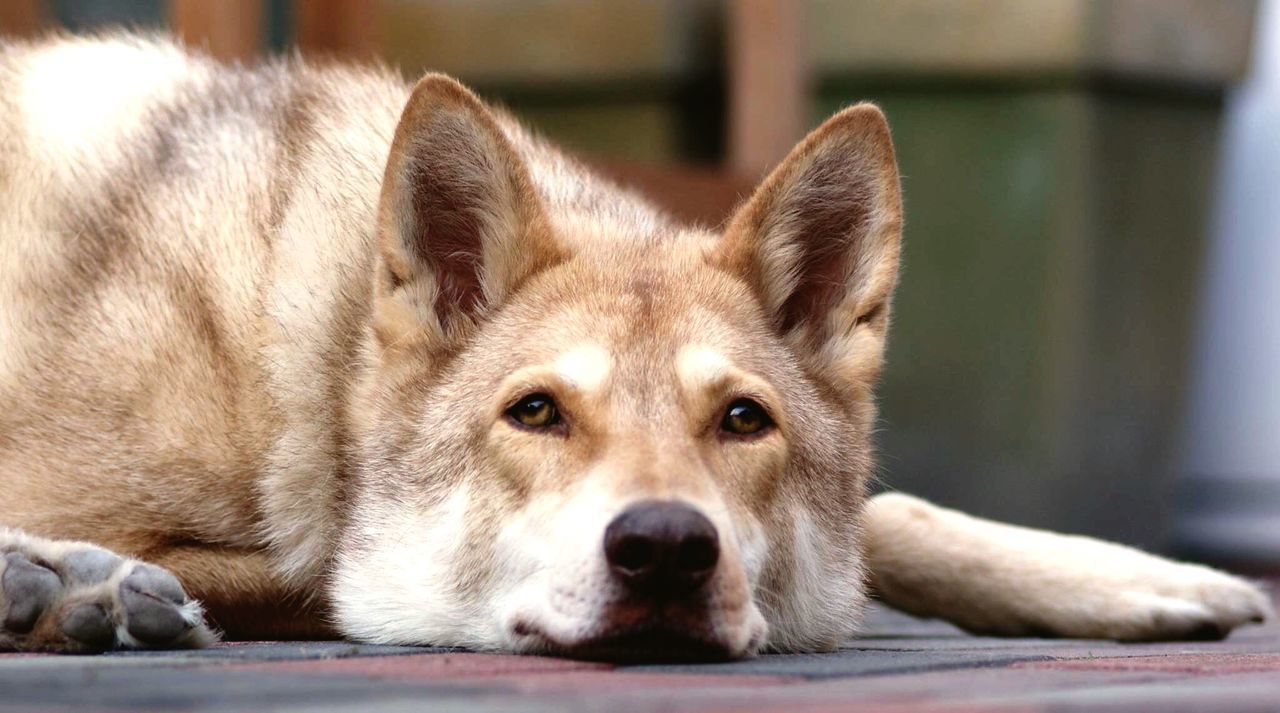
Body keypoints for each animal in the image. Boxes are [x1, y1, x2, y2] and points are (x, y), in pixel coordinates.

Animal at [0, 34, 1269, 655]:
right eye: (536, 411)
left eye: (743, 418)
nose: (663, 545)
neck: (315, 379)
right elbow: (314, 580)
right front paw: (71, 581)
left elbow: (890, 515)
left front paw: (1132, 578)